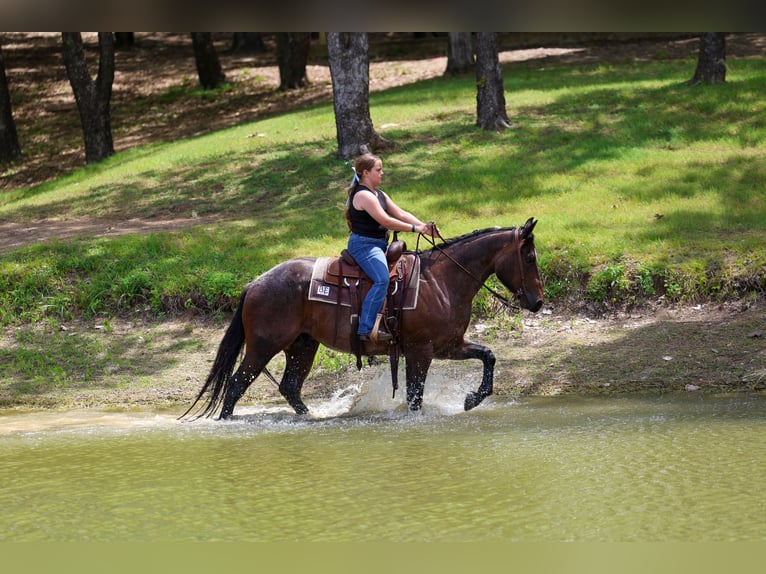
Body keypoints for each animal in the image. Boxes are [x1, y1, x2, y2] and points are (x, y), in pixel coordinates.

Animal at [182, 217, 544, 420]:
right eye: (528, 257)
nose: (538, 302)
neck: (441, 279)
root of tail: (255, 283)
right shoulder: (421, 351)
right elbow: (414, 397)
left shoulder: (449, 345)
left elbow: (488, 356)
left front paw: (471, 399)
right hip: (262, 347)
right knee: (235, 386)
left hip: (302, 346)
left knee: (290, 388)